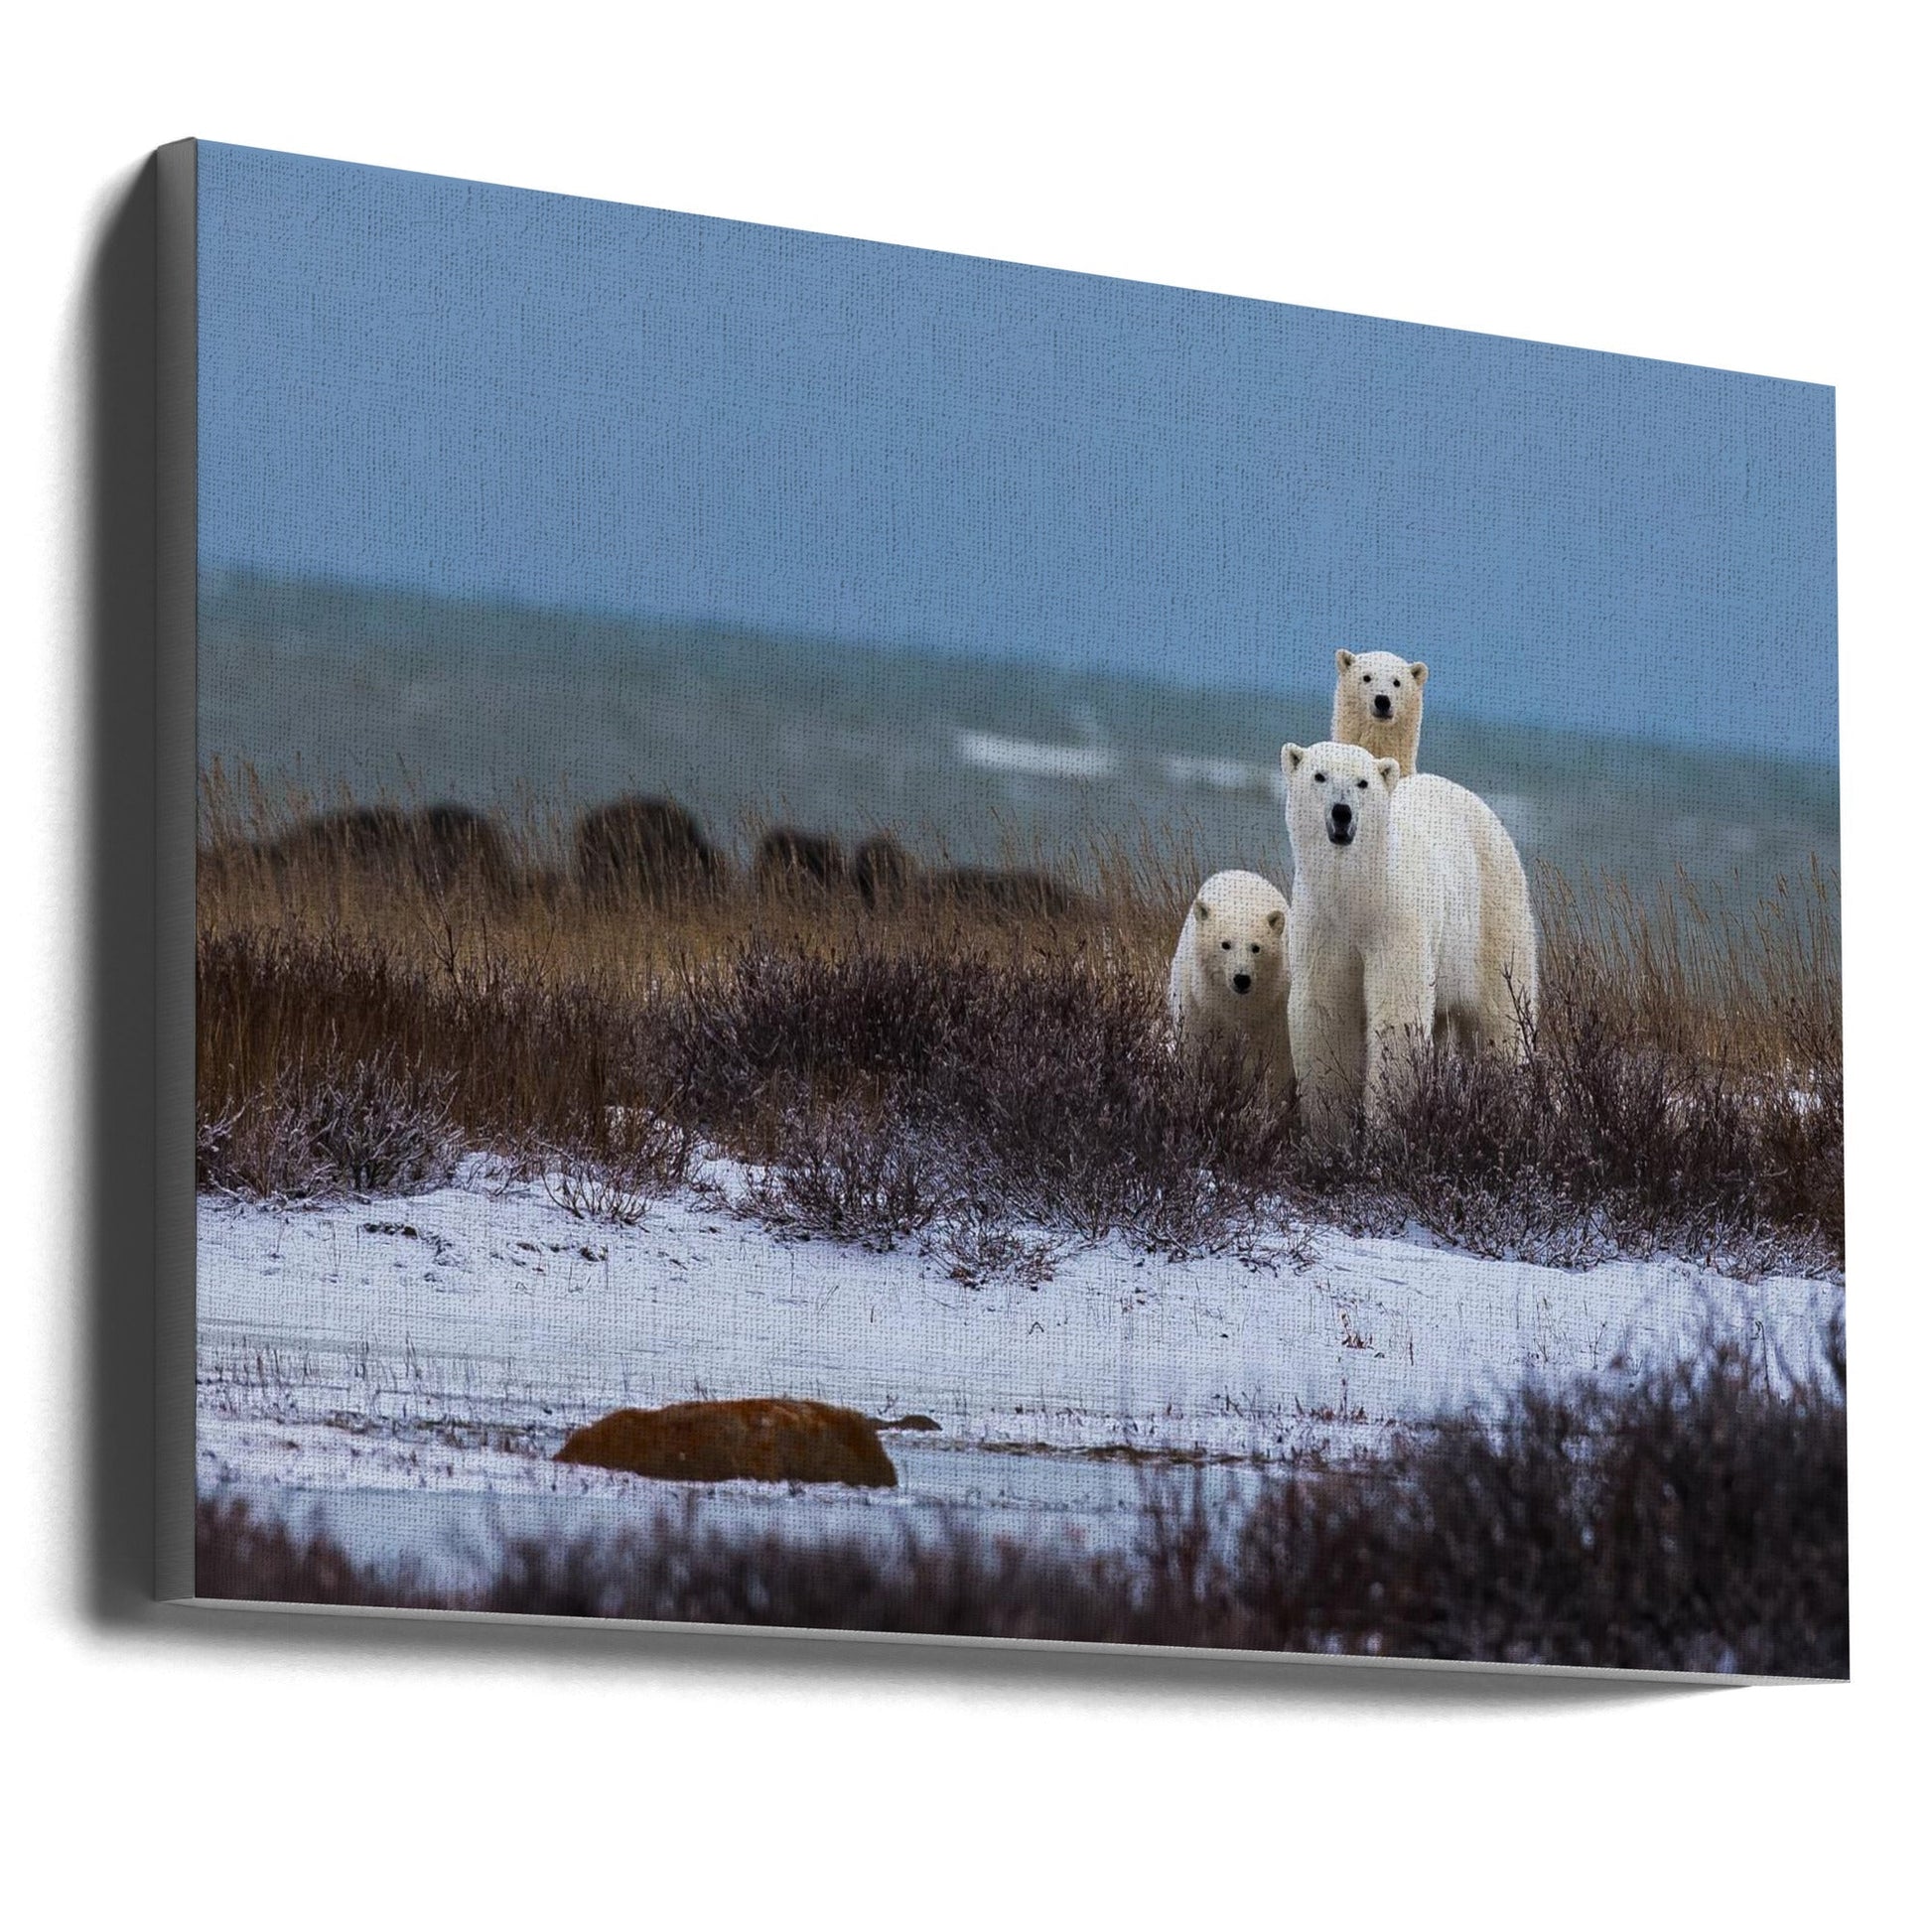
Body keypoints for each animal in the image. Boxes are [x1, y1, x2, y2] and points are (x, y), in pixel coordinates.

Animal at [1166, 869, 1295, 1100]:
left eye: (1256, 947)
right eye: (1225, 944)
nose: (1241, 978)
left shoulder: (1271, 1010)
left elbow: (1274, 1061)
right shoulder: (1200, 1006)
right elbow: (1199, 1052)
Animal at [1279, 740, 1537, 1138]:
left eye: (1363, 782)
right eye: (1320, 775)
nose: (1342, 812)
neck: (1356, 891)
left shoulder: (1396, 919)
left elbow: (1397, 1013)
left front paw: (1385, 1124)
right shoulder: (1322, 925)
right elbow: (1324, 1010)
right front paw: (1329, 1129)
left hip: (1491, 914)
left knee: (1501, 1017)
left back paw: (1510, 1108)